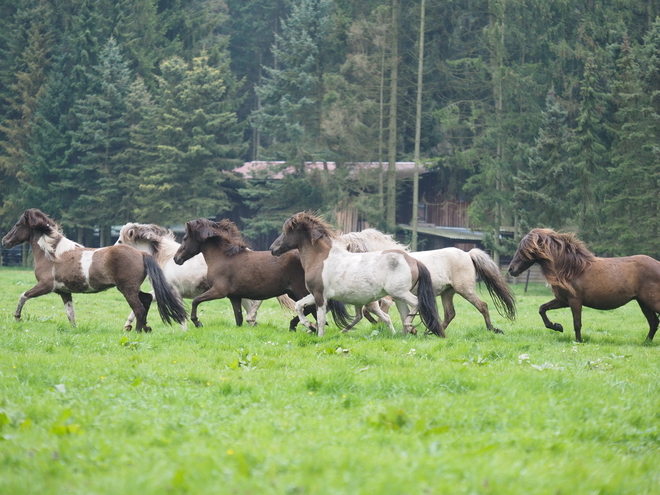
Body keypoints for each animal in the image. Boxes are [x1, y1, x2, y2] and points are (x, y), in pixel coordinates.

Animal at [1, 209, 187, 334]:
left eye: (18, 224)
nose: (5, 241)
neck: (53, 254)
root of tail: (141, 253)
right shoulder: (64, 291)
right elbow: (70, 313)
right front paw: (75, 330)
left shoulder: (46, 286)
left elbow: (23, 295)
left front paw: (17, 317)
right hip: (131, 288)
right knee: (147, 299)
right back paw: (144, 328)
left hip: (127, 289)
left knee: (139, 308)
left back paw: (137, 331)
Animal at [268, 211, 444, 340]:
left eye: (287, 232)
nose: (272, 249)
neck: (321, 258)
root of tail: (413, 260)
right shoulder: (316, 294)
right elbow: (299, 306)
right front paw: (309, 325)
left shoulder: (319, 295)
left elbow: (321, 318)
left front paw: (319, 335)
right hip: (398, 297)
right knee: (403, 312)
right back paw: (404, 333)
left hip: (399, 293)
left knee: (416, 303)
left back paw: (408, 327)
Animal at [340, 229, 516, 338]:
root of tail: (467, 254)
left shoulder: (389, 296)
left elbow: (374, 311)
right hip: (447, 292)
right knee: (450, 313)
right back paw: (430, 332)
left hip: (465, 290)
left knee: (483, 306)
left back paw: (492, 329)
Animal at [508, 228, 660, 340]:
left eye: (524, 250)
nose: (511, 269)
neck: (571, 269)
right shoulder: (564, 300)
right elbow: (542, 309)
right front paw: (557, 326)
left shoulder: (575, 301)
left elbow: (577, 323)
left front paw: (578, 341)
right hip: (643, 303)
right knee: (653, 322)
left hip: (651, 302)